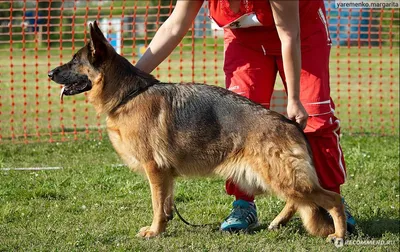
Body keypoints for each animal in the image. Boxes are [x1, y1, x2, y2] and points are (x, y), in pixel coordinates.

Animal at [47, 22, 346, 244]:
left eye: (74, 61)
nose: (50, 73)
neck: (128, 95)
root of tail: (291, 123)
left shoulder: (154, 169)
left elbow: (156, 204)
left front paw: (154, 231)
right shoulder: (165, 174)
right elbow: (165, 203)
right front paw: (164, 226)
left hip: (280, 175)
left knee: (331, 198)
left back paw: (339, 234)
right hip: (274, 176)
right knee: (300, 202)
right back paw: (279, 221)